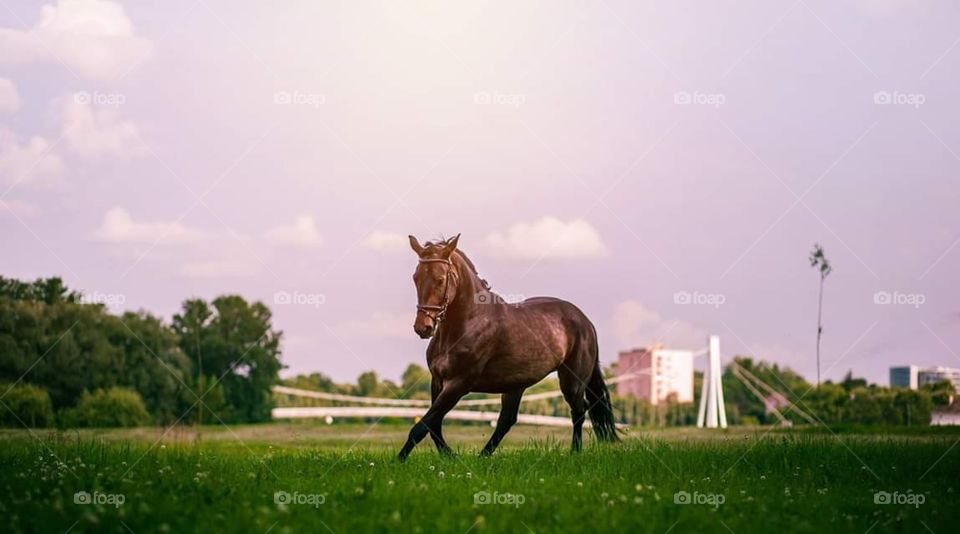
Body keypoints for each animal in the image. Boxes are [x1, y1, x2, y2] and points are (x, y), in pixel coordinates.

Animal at [398, 234, 624, 464]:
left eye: (440, 279)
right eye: (416, 277)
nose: (423, 327)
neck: (468, 322)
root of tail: (585, 320)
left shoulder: (459, 383)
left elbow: (422, 426)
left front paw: (398, 461)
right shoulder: (438, 380)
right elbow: (433, 425)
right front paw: (451, 456)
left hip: (572, 380)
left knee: (578, 410)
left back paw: (574, 452)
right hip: (516, 385)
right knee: (507, 420)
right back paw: (483, 456)